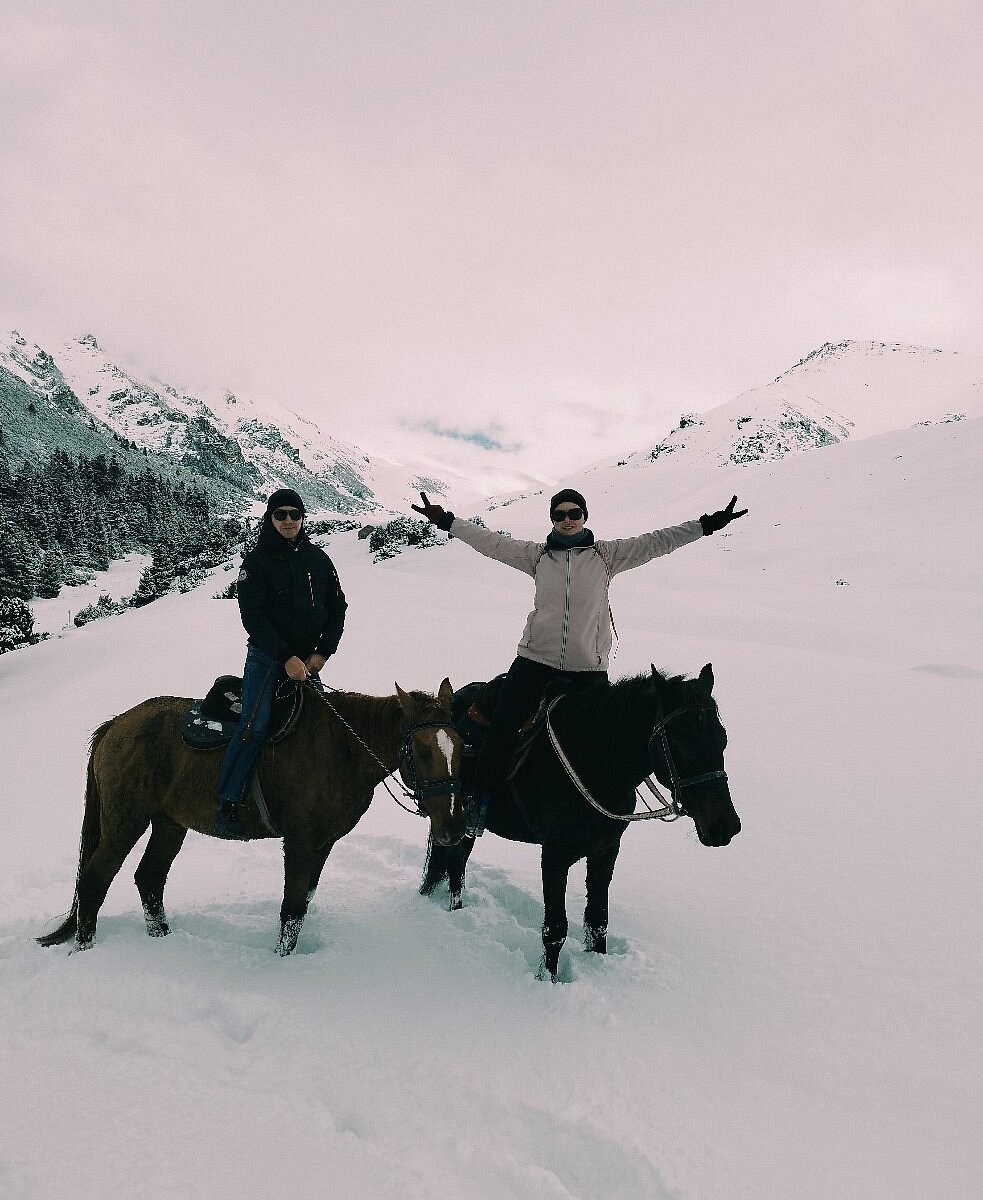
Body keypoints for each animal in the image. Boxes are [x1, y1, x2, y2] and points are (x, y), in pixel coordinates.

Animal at [37, 681, 465, 950]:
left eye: (462, 745)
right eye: (422, 750)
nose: (451, 829)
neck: (340, 748)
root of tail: (115, 726)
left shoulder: (323, 844)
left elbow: (303, 903)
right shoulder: (300, 842)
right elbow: (291, 909)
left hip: (169, 825)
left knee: (149, 878)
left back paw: (163, 939)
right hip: (125, 823)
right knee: (95, 879)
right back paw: (85, 948)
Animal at [420, 662, 739, 979]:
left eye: (722, 738)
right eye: (680, 741)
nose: (726, 827)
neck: (595, 764)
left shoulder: (606, 851)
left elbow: (598, 920)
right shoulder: (554, 857)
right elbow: (555, 929)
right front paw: (547, 979)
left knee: (456, 864)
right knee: (453, 863)